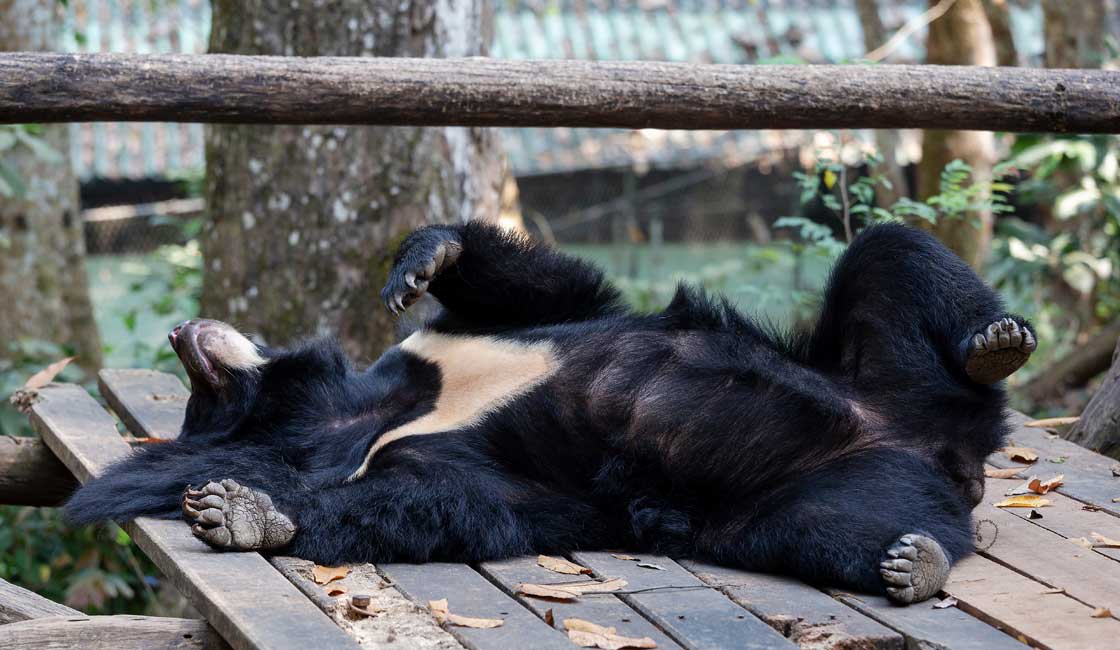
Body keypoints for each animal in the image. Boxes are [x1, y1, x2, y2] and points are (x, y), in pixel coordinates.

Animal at [65, 221, 1034, 605]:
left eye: (199, 391)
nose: (183, 331)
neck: (362, 407)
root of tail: (950, 457)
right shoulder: (416, 456)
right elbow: (439, 502)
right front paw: (241, 510)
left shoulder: (457, 341)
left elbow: (553, 289)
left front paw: (422, 261)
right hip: (814, 494)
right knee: (824, 529)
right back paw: (913, 562)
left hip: (889, 374)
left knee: (889, 255)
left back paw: (998, 339)